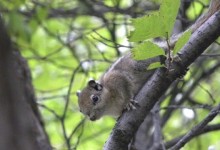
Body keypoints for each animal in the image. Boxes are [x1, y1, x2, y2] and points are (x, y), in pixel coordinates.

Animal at [77, 0, 220, 120]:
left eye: (95, 98)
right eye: (80, 110)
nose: (91, 118)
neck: (110, 104)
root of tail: (162, 45)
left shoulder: (116, 79)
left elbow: (125, 87)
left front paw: (128, 102)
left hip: (145, 61)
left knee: (165, 54)